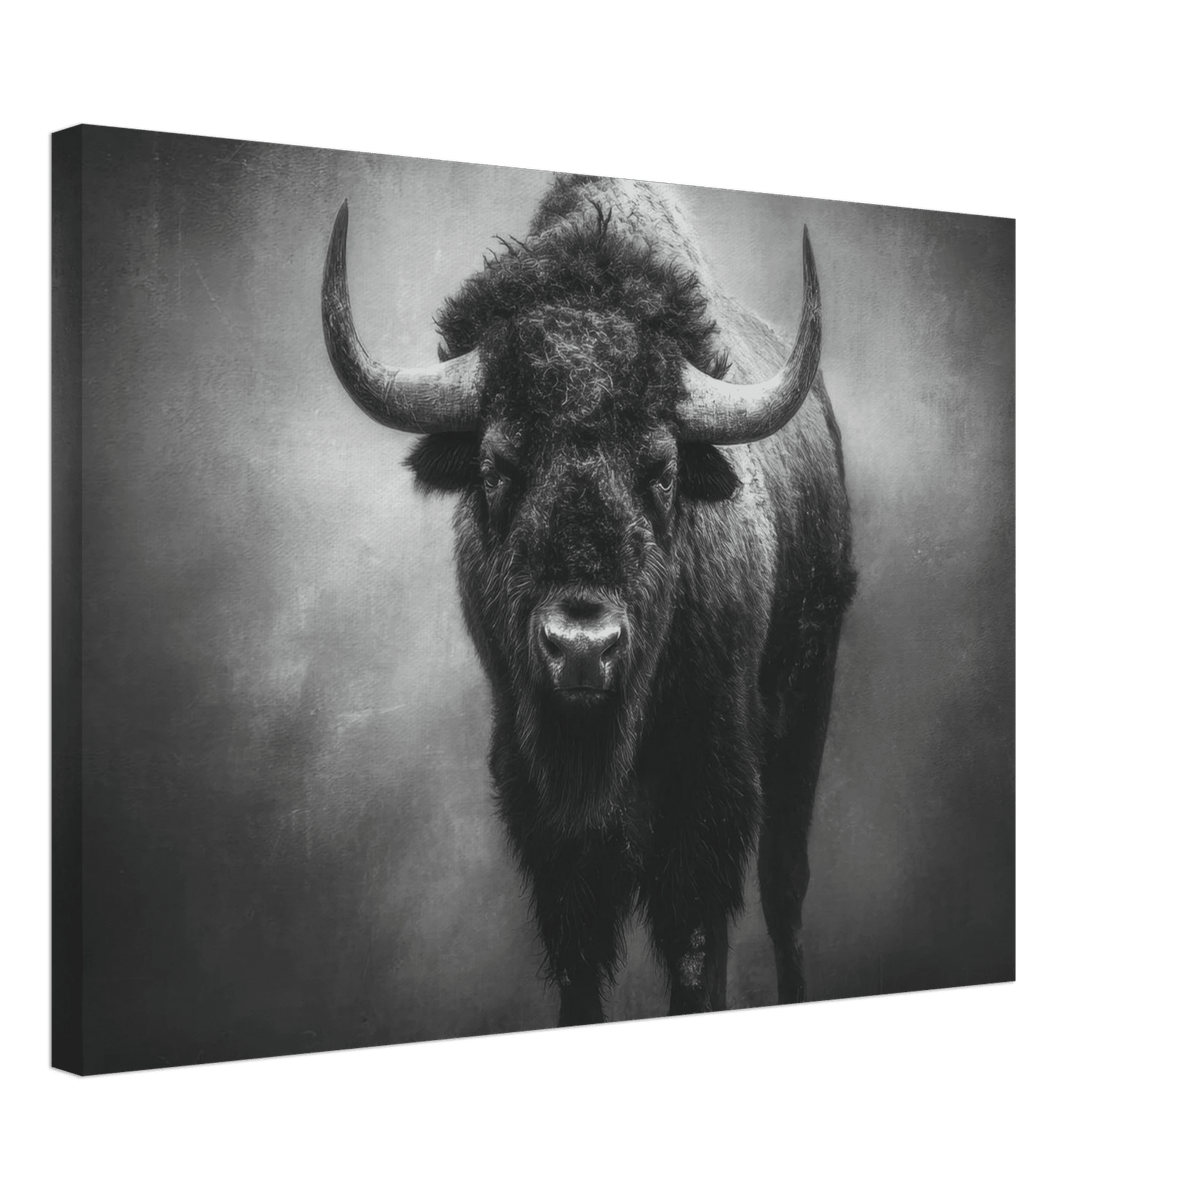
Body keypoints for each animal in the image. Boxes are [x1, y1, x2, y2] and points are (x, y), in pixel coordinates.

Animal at [321, 174, 856, 1027]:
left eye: (662, 470)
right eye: (496, 466)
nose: (581, 648)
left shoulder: (708, 789)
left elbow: (694, 941)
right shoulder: (543, 813)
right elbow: (580, 956)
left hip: (806, 701)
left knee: (783, 888)